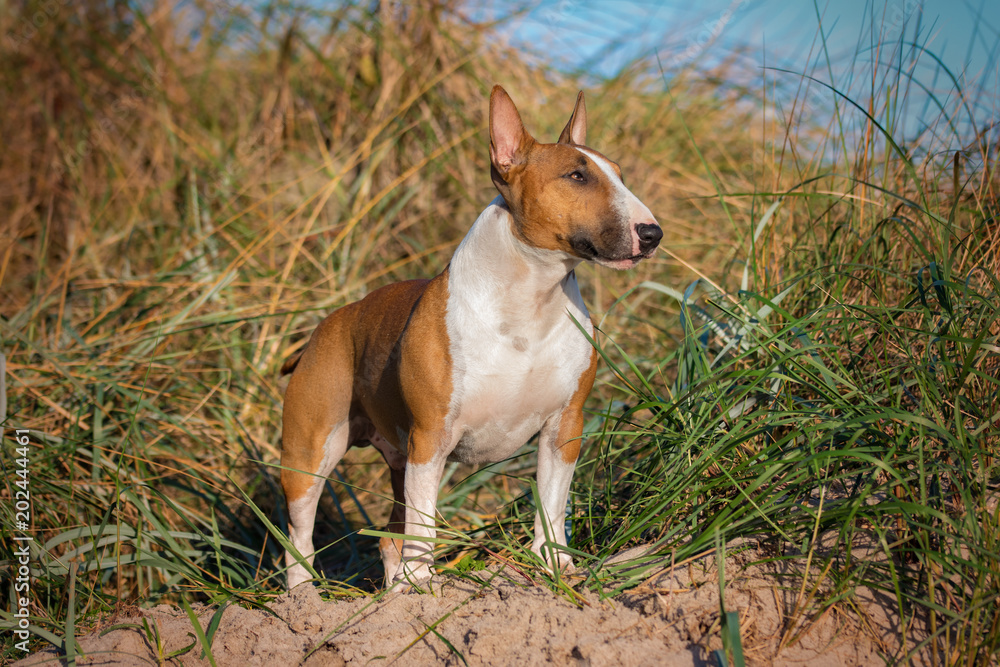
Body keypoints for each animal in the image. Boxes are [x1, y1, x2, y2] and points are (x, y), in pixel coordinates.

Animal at [278, 83, 660, 588]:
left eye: (618, 175)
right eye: (577, 176)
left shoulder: (564, 428)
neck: (530, 301)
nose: (652, 233)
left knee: (389, 536)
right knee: (300, 535)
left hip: (396, 459)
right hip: (309, 455)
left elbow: (552, 503)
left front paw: (554, 565)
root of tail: (325, 326)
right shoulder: (431, 438)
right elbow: (425, 522)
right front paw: (423, 582)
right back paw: (305, 597)